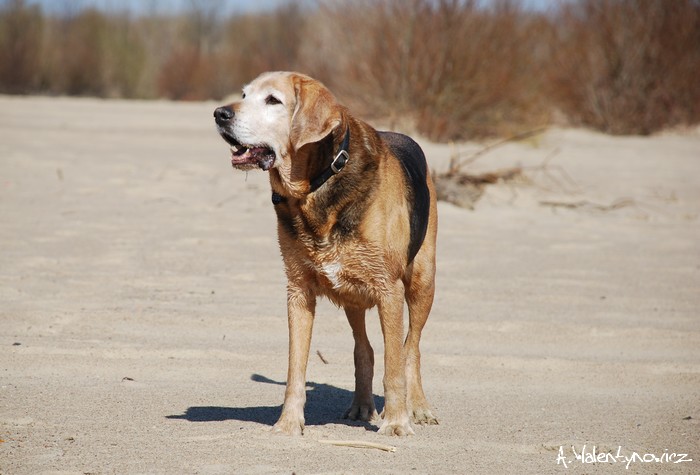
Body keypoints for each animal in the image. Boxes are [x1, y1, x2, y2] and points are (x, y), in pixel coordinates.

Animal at [212, 72, 438, 436]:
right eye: (244, 95)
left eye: (273, 100)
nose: (220, 114)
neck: (315, 188)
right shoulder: (298, 291)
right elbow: (295, 369)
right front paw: (288, 423)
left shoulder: (389, 290)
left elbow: (395, 364)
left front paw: (396, 422)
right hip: (352, 295)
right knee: (365, 349)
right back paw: (362, 406)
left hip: (421, 282)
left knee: (411, 348)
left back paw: (417, 407)